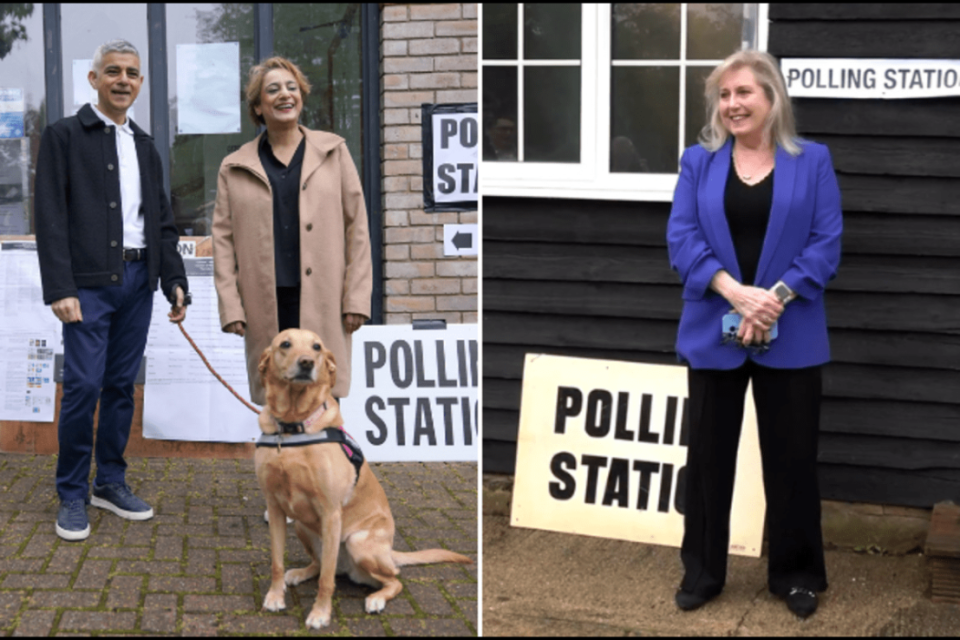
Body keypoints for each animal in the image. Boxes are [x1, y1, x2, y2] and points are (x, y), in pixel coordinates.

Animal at [255, 328, 472, 628]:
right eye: (285, 344)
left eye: (317, 347)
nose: (307, 362)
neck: (293, 427)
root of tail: (389, 552)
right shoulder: (276, 508)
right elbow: (277, 563)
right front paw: (275, 597)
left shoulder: (331, 512)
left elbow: (326, 581)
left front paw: (320, 614)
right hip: (301, 525)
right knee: (321, 565)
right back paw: (298, 573)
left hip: (357, 542)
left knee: (391, 579)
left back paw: (376, 599)